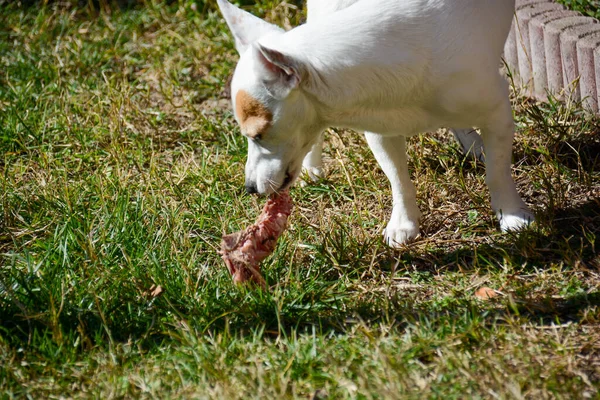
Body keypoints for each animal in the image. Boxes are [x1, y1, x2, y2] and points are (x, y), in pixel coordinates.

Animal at [217, 0, 536, 247]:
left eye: (258, 135)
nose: (249, 188)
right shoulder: (381, 131)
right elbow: (398, 179)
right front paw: (405, 224)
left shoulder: (498, 112)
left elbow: (497, 172)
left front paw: (511, 214)